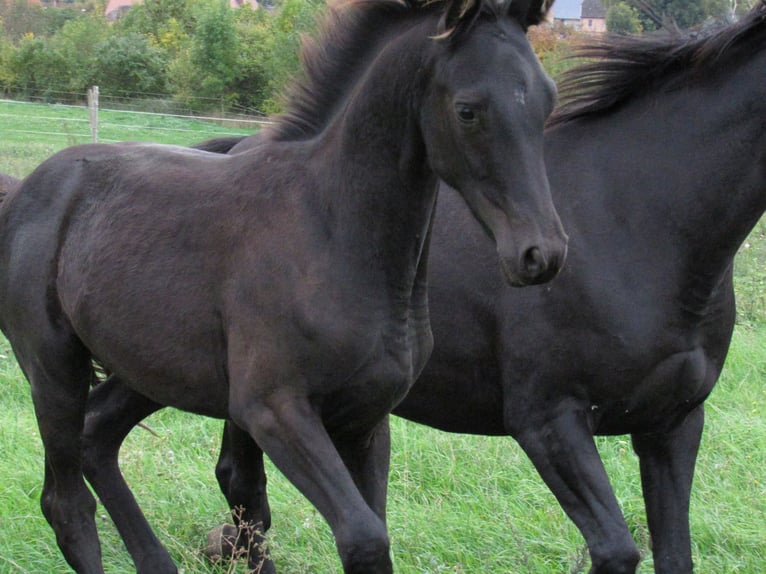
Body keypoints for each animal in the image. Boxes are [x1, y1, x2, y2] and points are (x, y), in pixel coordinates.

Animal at [0, 0, 566, 572]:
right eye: (468, 110)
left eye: (548, 101)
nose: (540, 254)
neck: (326, 227)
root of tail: (22, 192)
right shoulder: (273, 410)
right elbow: (362, 535)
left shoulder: (366, 418)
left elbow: (365, 525)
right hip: (53, 369)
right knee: (67, 506)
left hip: (150, 367)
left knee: (97, 435)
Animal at [82, 3, 766, 573]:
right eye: (468, 111)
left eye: (546, 102)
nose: (539, 256)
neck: (633, 220)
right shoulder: (549, 419)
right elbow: (617, 549)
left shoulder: (673, 426)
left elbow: (673, 554)